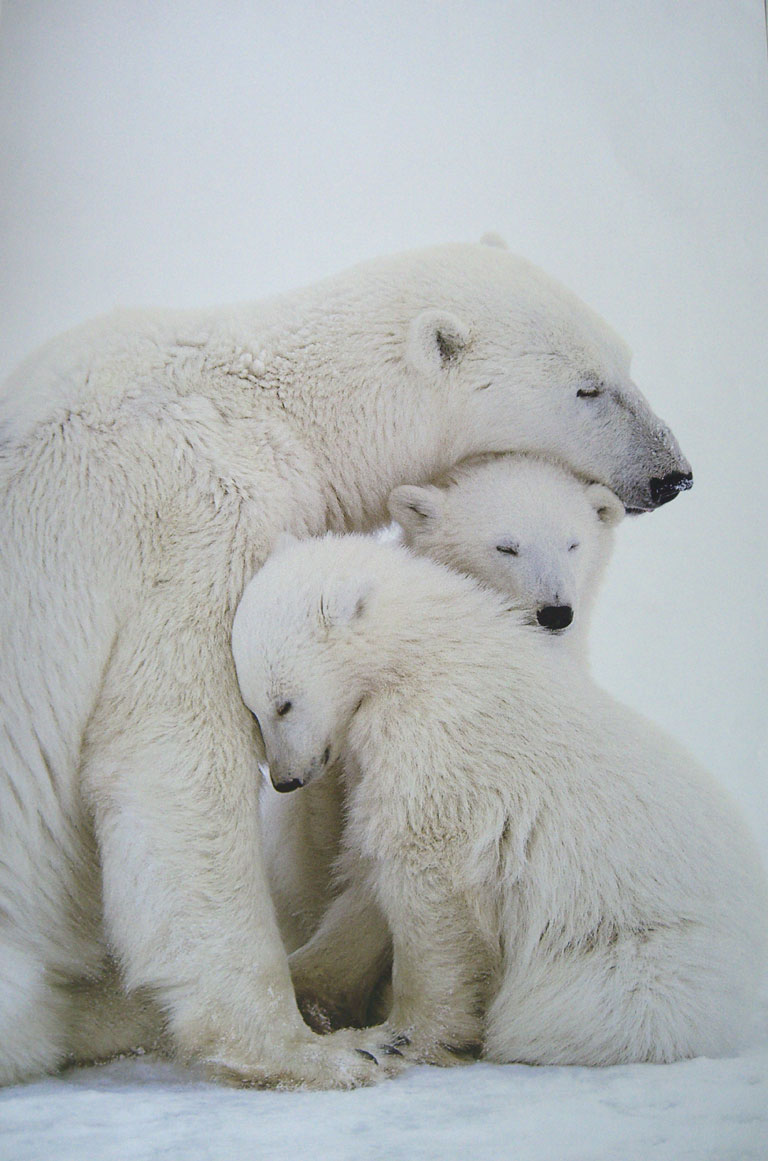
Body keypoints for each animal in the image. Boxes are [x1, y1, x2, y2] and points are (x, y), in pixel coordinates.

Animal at [232, 533, 768, 1068]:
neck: (422, 653)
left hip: (647, 949)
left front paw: (407, 1035)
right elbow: (371, 880)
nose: (284, 780)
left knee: (576, 1007)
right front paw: (308, 989)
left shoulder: (440, 742)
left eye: (284, 704)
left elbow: (429, 886)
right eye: (252, 709)